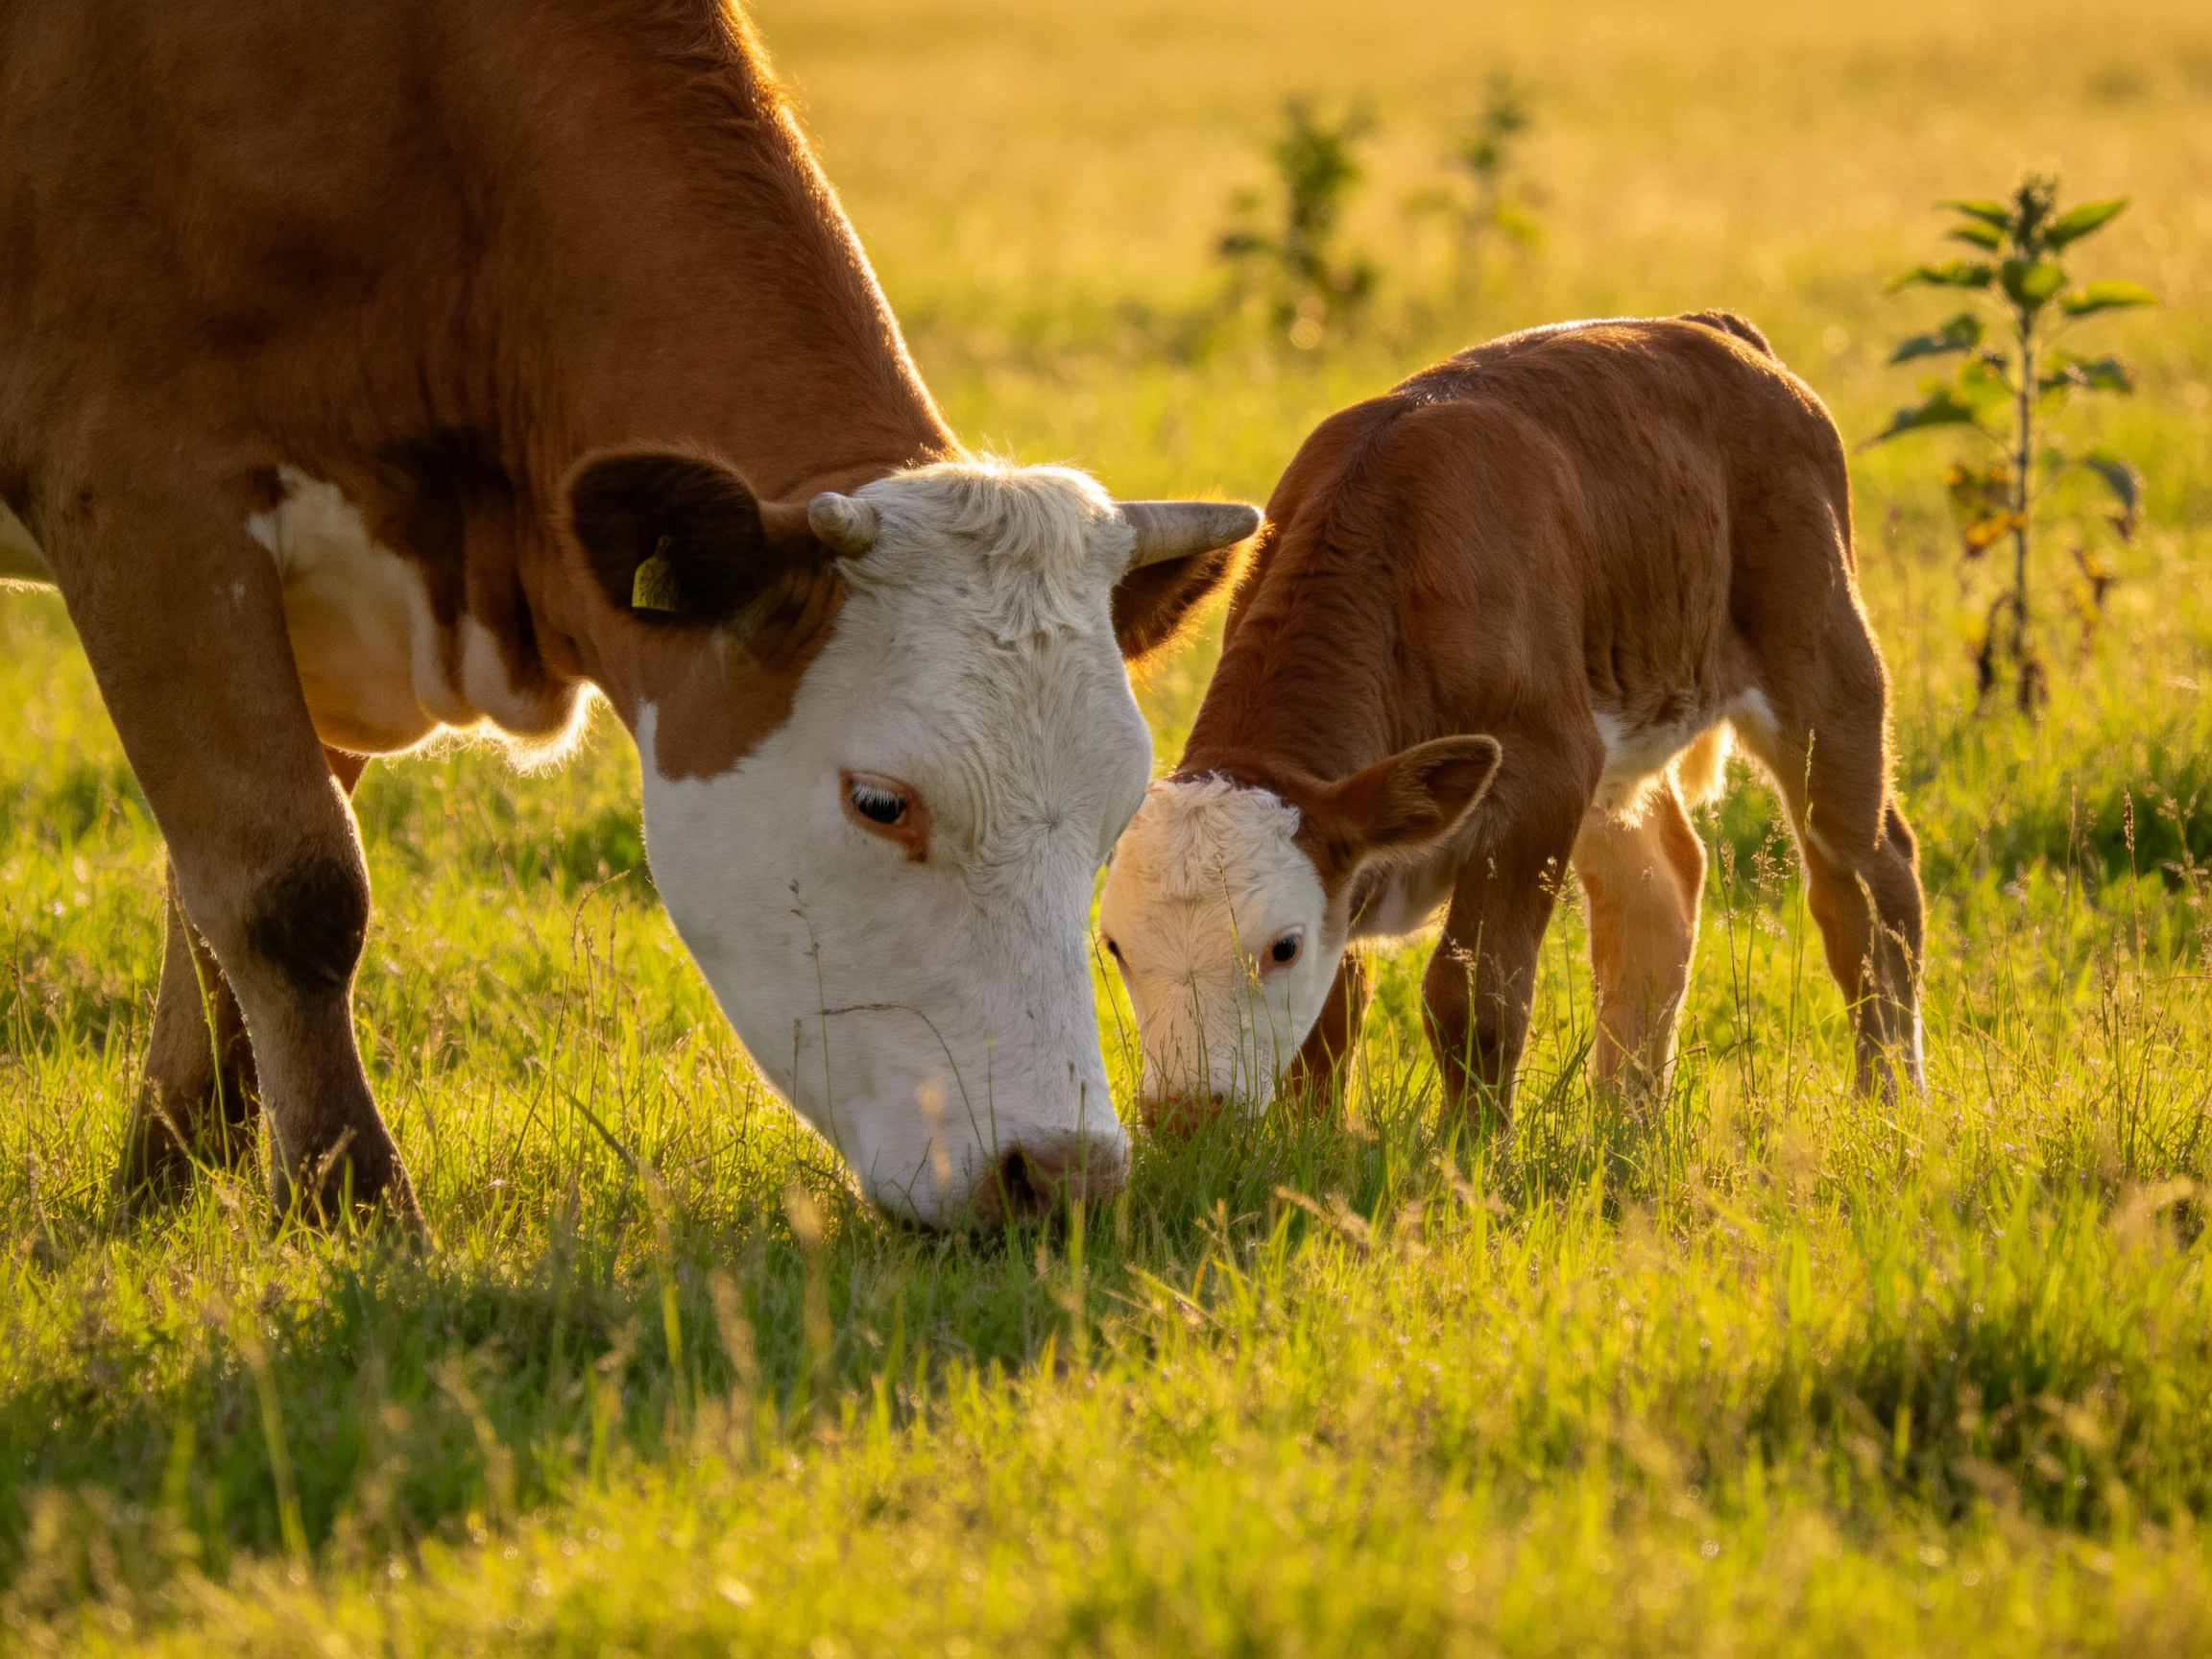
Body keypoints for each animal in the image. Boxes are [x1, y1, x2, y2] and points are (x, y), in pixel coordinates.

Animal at [0, 0, 1257, 1228]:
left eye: (1116, 816)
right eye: (880, 802)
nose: (1063, 1172)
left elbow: (213, 893)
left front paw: (162, 1187)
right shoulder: (146, 496)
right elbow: (289, 885)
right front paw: (350, 1205)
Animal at [1097, 313, 1926, 1132]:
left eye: (1282, 948)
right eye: (1114, 947)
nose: (1185, 1117)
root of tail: (1714, 331)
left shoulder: (1543, 771)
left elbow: (1472, 1000)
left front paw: (1469, 1152)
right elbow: (1331, 1021)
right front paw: (1311, 1141)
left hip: (1824, 664)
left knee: (1865, 885)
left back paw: (1888, 1101)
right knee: (1657, 886)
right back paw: (1625, 1118)